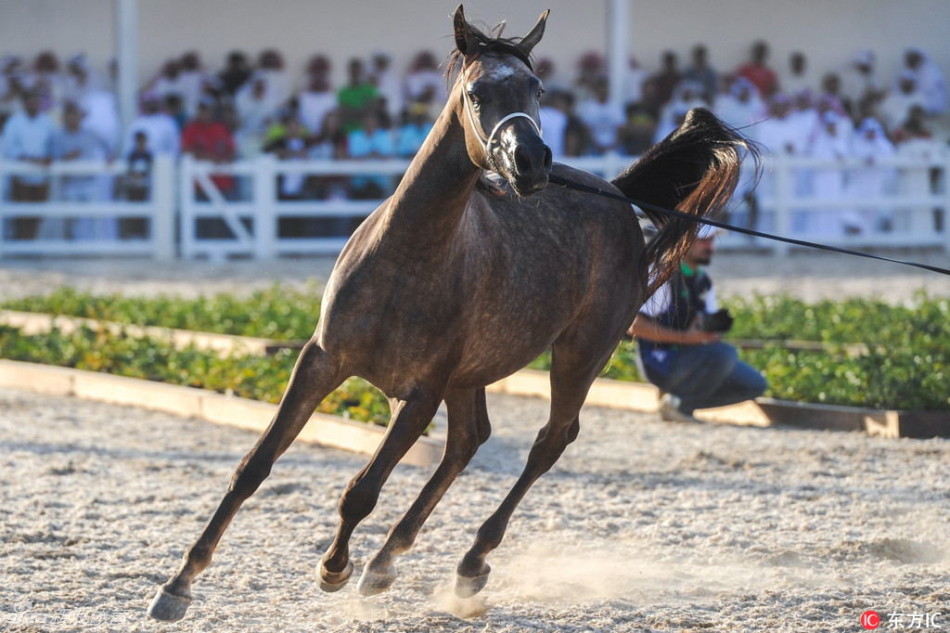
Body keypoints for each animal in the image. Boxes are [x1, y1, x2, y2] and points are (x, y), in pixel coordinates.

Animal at [147, 4, 752, 620]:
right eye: (476, 91)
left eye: (535, 87)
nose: (530, 162)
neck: (406, 259)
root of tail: (617, 194)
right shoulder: (320, 362)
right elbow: (255, 466)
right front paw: (179, 584)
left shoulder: (420, 393)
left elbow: (361, 491)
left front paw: (334, 568)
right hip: (473, 374)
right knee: (469, 440)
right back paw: (387, 560)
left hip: (579, 355)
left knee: (547, 442)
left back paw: (468, 563)